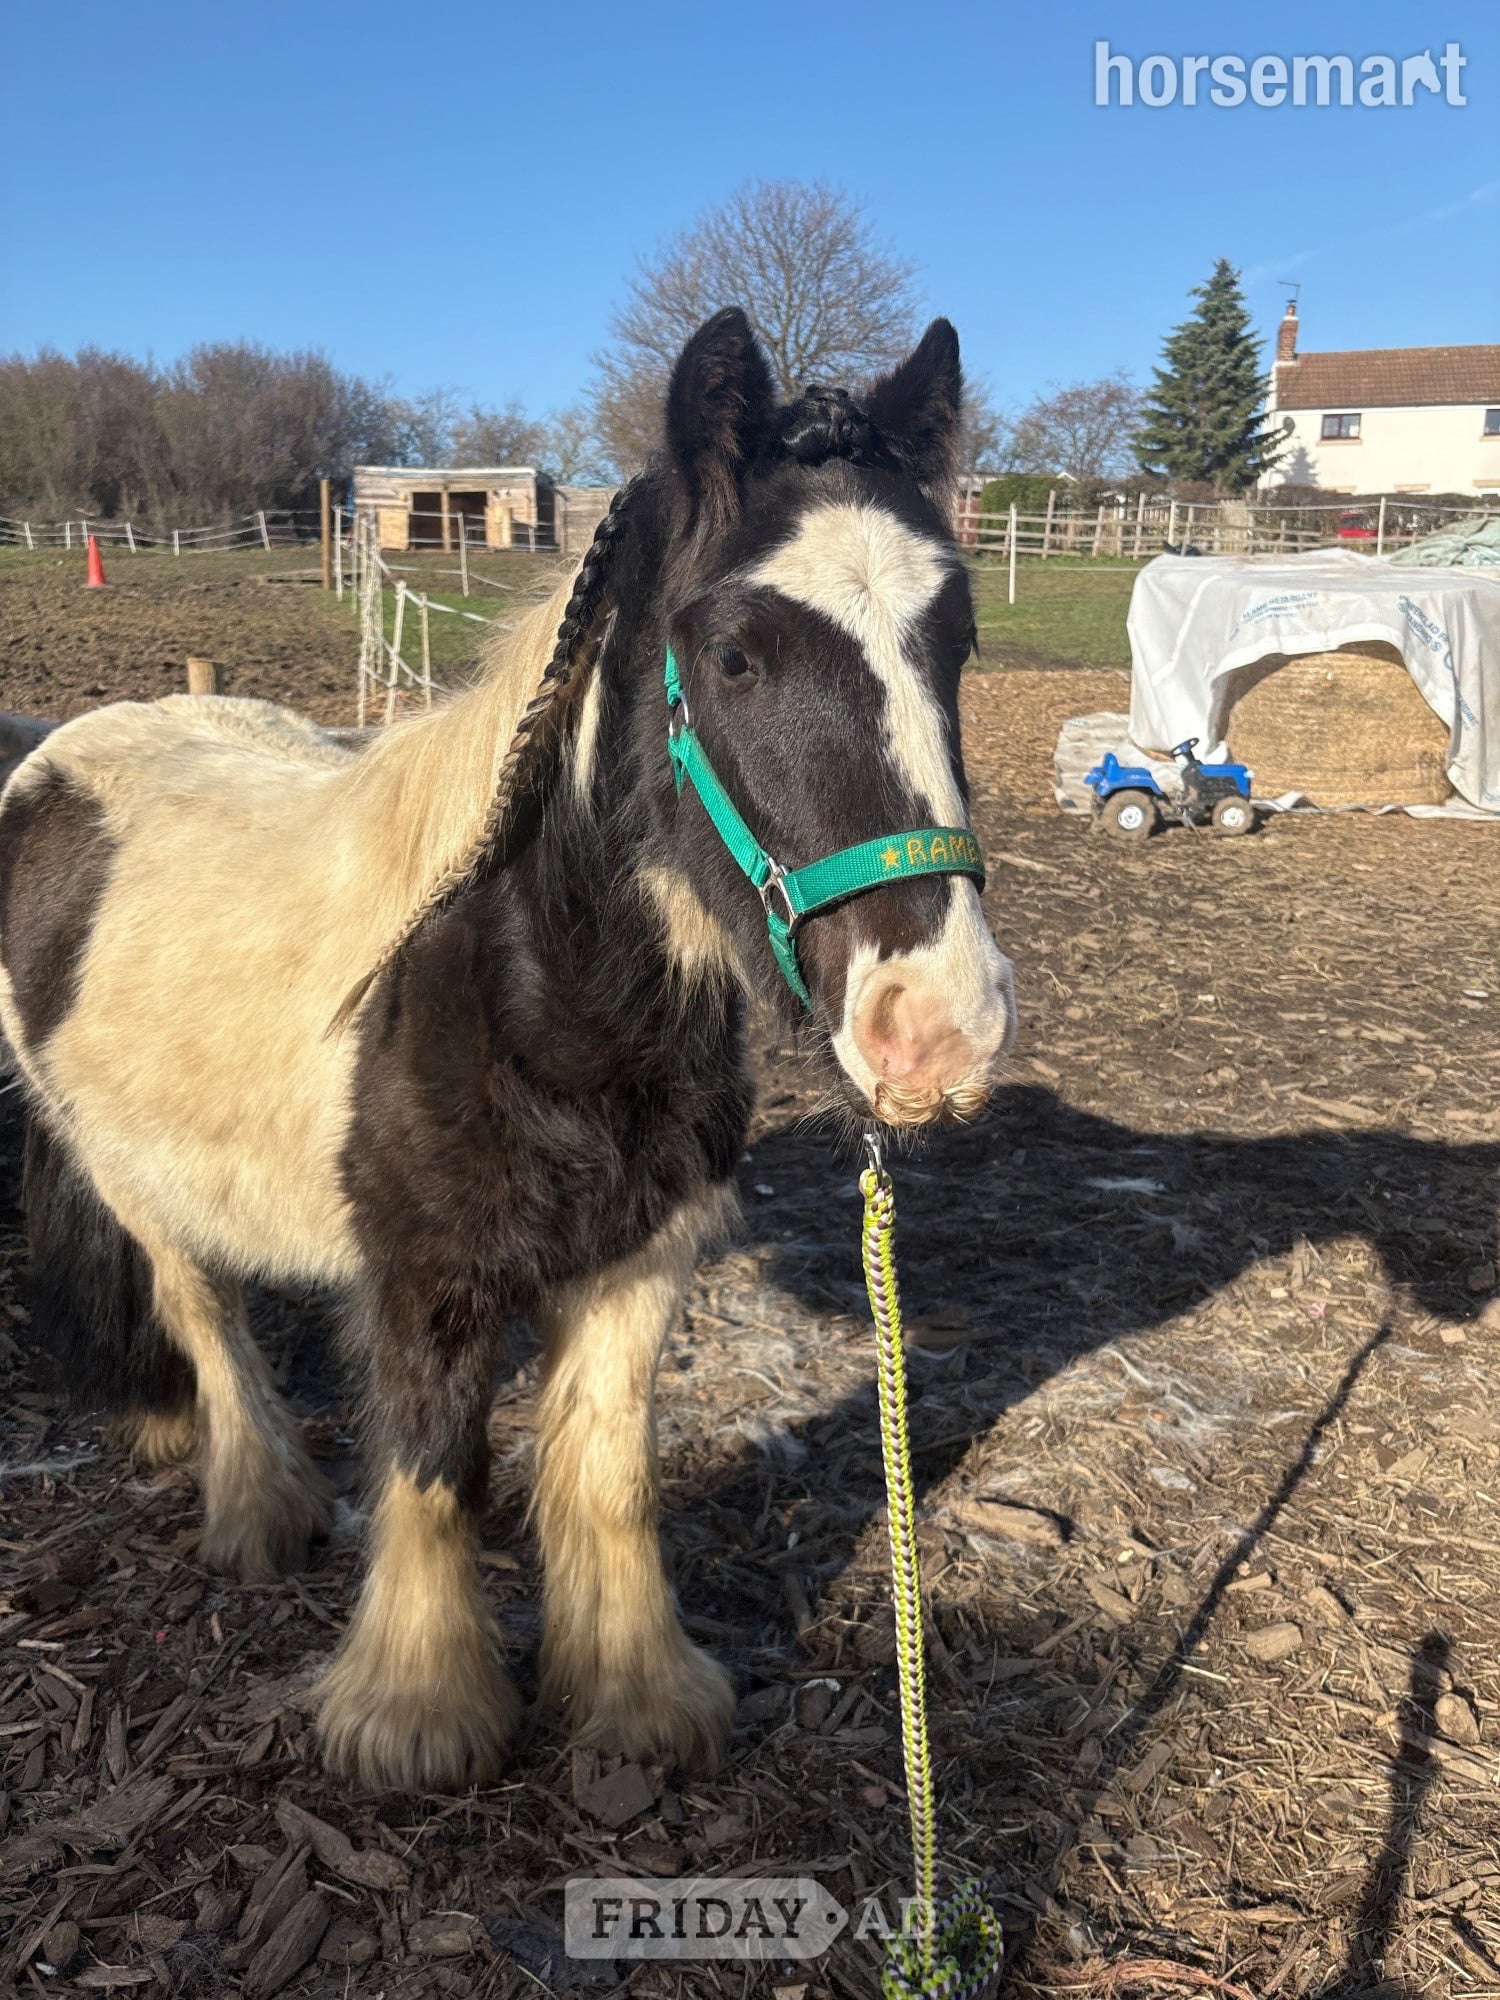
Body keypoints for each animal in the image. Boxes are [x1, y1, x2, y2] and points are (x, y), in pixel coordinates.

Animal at [0, 308, 1015, 1793]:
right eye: (736, 655)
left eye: (959, 638)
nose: (941, 1022)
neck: (526, 987)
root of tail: (57, 755)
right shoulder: (430, 1277)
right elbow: (434, 1472)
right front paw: (418, 1715)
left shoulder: (641, 1257)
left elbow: (608, 1476)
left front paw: (639, 1697)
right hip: (126, 1169)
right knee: (204, 1313)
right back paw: (258, 1508)